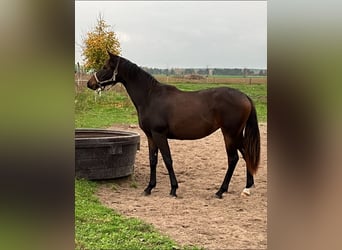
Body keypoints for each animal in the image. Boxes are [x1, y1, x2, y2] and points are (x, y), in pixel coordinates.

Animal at [87, 51, 260, 198]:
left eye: (105, 67)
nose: (90, 83)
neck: (150, 97)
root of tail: (245, 96)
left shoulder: (159, 134)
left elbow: (167, 159)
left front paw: (173, 189)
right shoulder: (150, 136)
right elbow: (153, 160)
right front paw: (149, 188)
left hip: (229, 134)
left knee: (233, 159)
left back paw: (220, 191)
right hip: (236, 135)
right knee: (246, 154)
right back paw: (247, 187)